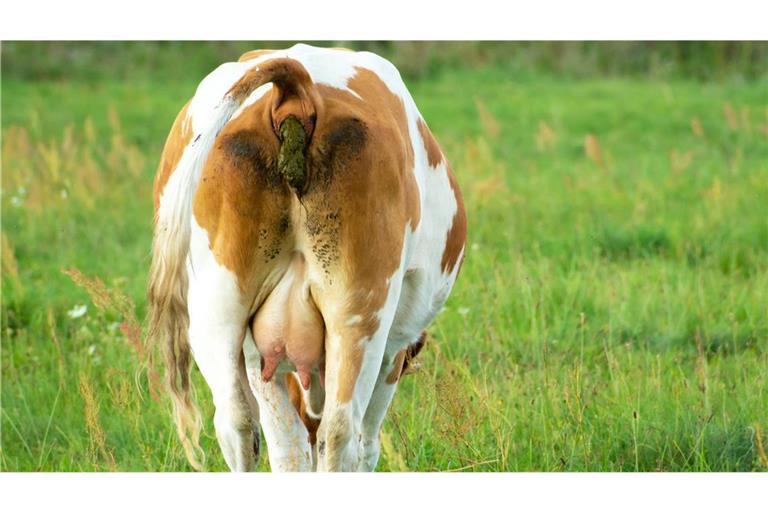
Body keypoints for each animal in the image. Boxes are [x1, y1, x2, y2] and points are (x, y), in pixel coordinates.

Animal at [148, 43, 466, 472]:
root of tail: (295, 88)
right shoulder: (394, 349)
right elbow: (365, 442)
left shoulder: (256, 356)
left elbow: (287, 446)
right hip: (362, 315)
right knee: (341, 432)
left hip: (213, 311)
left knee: (238, 426)